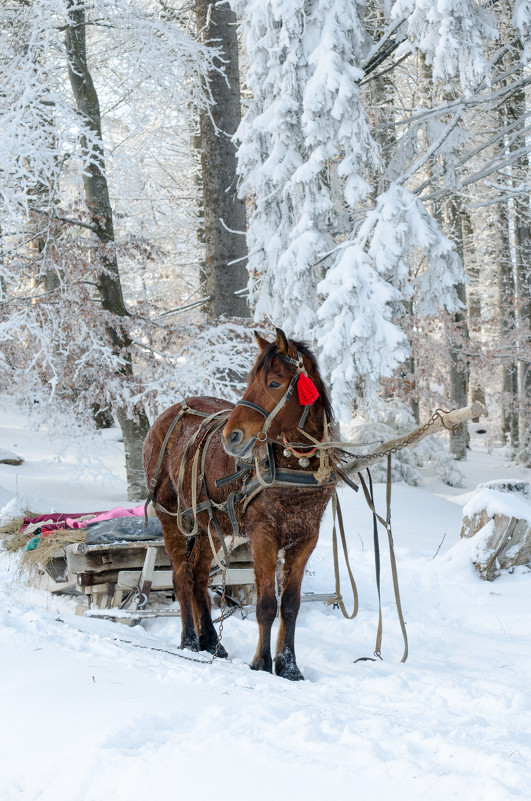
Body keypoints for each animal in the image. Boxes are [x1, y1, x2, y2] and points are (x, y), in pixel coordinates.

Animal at [143, 328, 336, 680]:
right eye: (249, 381)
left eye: (273, 383)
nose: (231, 436)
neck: (294, 467)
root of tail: (169, 412)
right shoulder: (263, 536)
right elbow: (266, 604)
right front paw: (261, 662)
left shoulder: (306, 538)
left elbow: (291, 604)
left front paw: (288, 666)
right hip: (172, 518)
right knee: (181, 576)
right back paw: (189, 639)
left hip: (210, 526)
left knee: (199, 577)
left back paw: (210, 641)